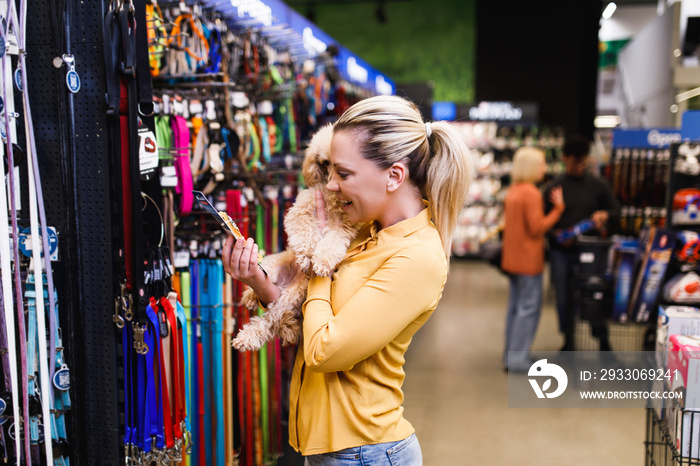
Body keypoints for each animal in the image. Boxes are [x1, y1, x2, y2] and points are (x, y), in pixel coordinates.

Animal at [232, 124, 360, 350]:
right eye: (325, 163)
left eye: (342, 170)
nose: (331, 183)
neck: (331, 197)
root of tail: (287, 282)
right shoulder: (301, 210)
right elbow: (305, 233)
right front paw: (307, 256)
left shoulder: (342, 227)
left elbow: (331, 244)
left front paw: (321, 262)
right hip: (272, 267)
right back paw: (250, 298)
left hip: (293, 295)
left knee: (272, 320)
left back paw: (249, 337)